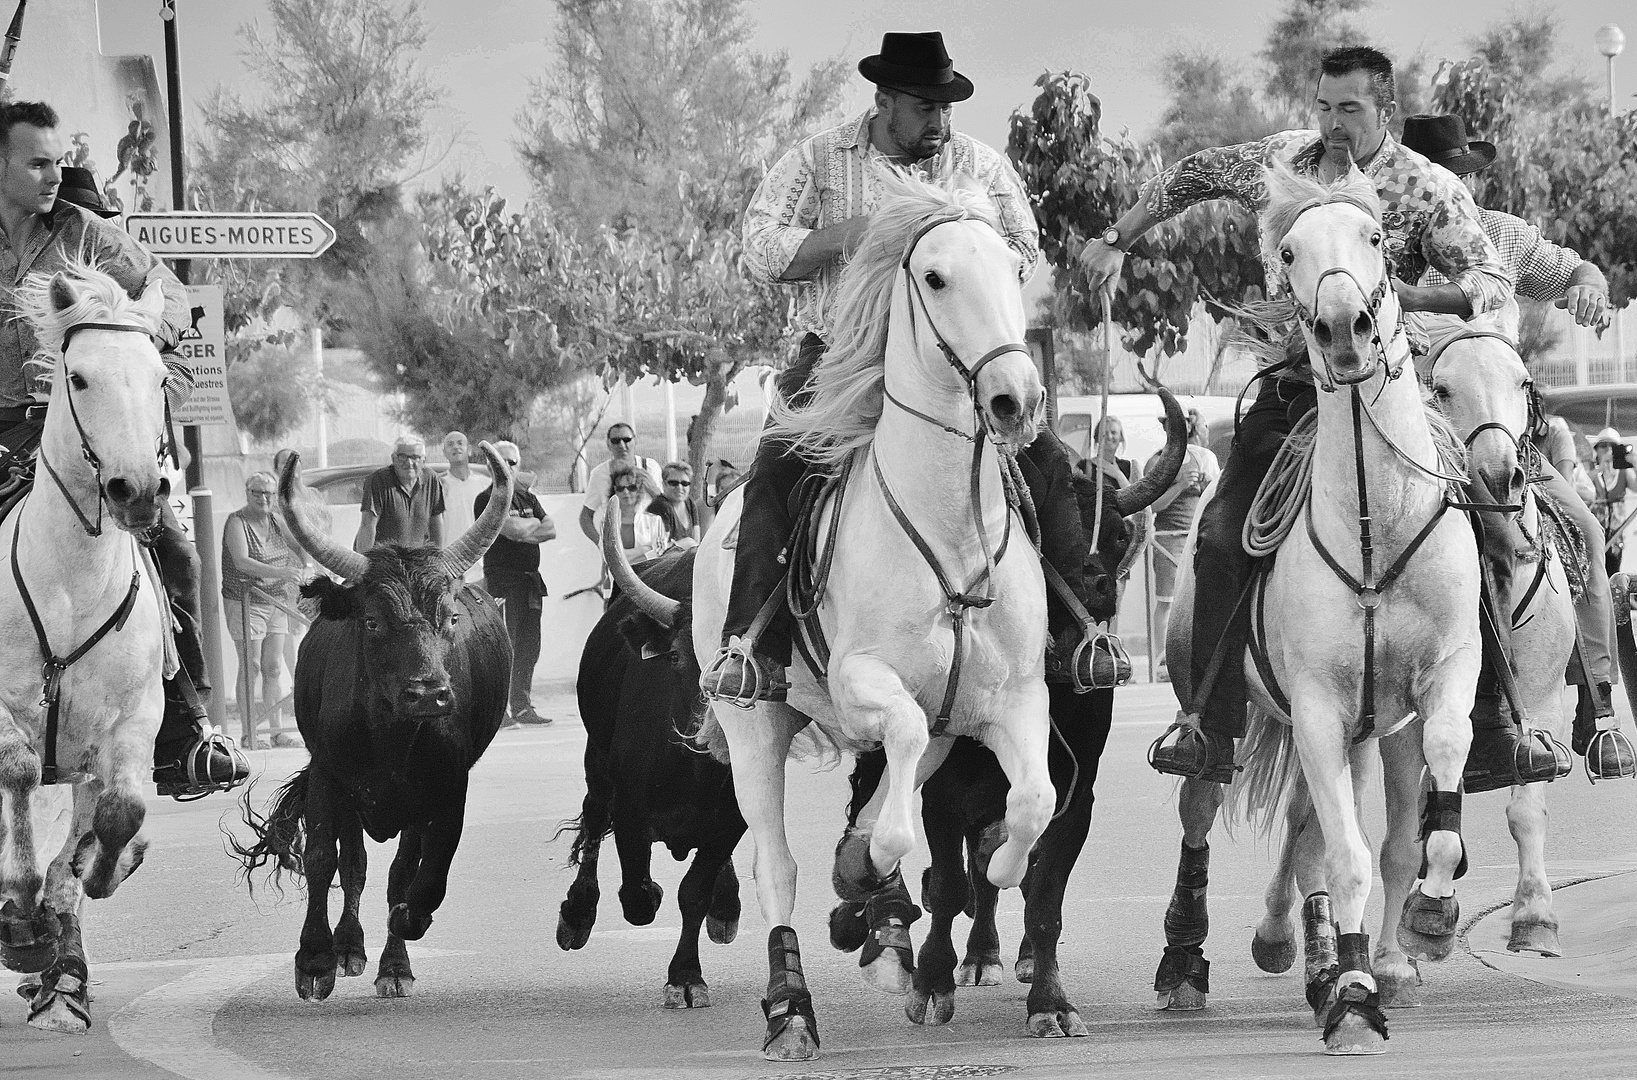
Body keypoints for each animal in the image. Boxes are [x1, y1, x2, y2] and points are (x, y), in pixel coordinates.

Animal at [556, 549, 749, 1014]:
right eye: (677, 658)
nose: (705, 735)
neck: (690, 772)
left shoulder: (732, 820)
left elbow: (693, 892)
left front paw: (686, 977)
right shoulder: (629, 813)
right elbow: (638, 896)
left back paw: (725, 904)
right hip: (596, 760)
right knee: (593, 817)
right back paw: (577, 912)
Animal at [687, 177, 1047, 1060]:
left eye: (1013, 272)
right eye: (936, 278)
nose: (1013, 400)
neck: (948, 531)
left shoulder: (1015, 701)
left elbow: (1033, 799)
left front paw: (993, 868)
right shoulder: (861, 681)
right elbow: (897, 781)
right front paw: (876, 859)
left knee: (900, 775)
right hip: (753, 721)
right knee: (776, 866)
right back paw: (792, 1009)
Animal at [1165, 168, 1486, 1053]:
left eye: (1375, 237)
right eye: (1287, 252)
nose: (1346, 325)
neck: (1377, 525)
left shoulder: (1443, 676)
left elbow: (1426, 796)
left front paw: (1429, 915)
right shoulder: (1312, 703)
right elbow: (1345, 854)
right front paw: (1353, 995)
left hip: (1360, 729)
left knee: (1308, 822)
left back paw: (1297, 947)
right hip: (1219, 702)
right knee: (1203, 800)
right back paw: (1190, 961)